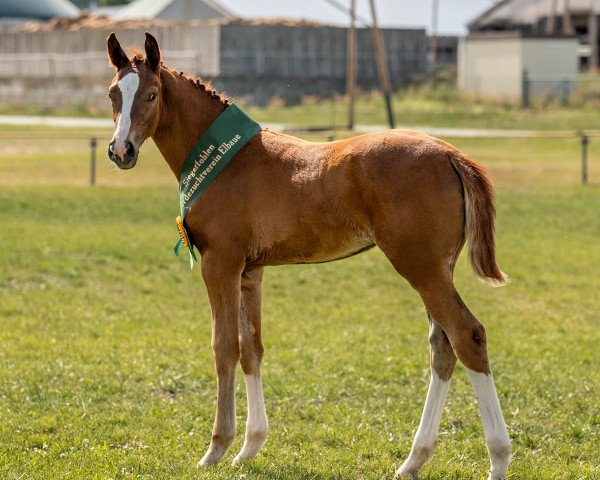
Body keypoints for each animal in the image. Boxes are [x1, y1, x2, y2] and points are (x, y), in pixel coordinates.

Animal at [106, 33, 510, 480]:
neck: (226, 161)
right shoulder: (250, 271)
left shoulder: (219, 263)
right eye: (112, 94)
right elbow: (252, 348)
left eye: (151, 94)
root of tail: (452, 155)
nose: (120, 150)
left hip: (420, 267)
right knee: (443, 346)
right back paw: (413, 461)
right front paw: (250, 447)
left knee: (466, 335)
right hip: (435, 269)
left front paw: (216, 448)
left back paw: (497, 458)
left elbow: (224, 347)